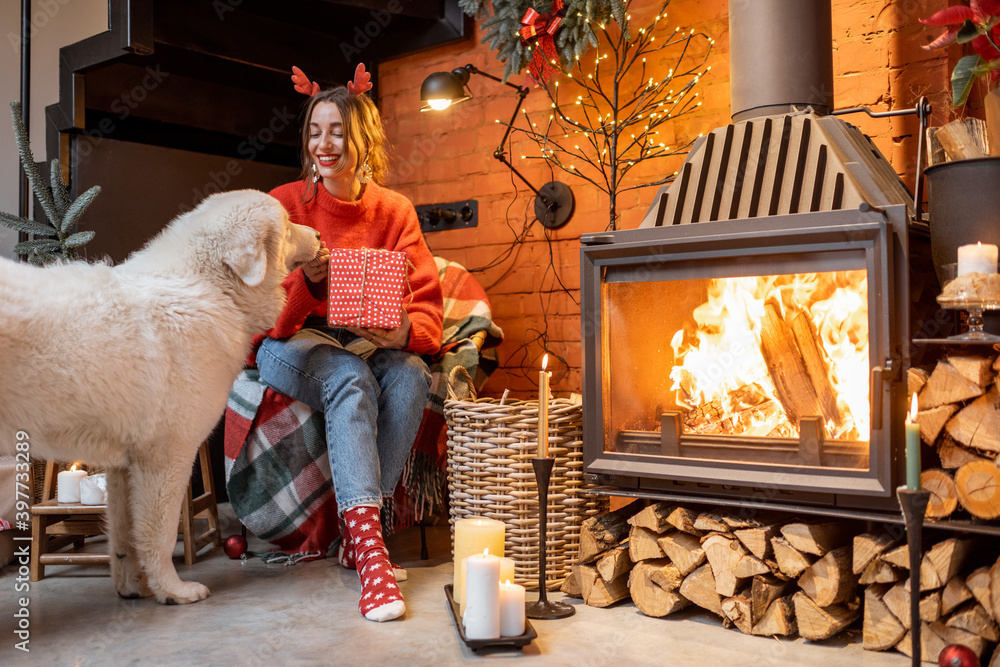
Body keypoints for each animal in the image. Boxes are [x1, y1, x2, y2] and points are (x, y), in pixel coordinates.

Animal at [0, 189, 318, 604]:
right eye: (289, 224)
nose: (319, 235)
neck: (211, 287)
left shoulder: (122, 466)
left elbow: (123, 538)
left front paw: (131, 588)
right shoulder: (167, 456)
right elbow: (159, 534)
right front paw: (172, 591)